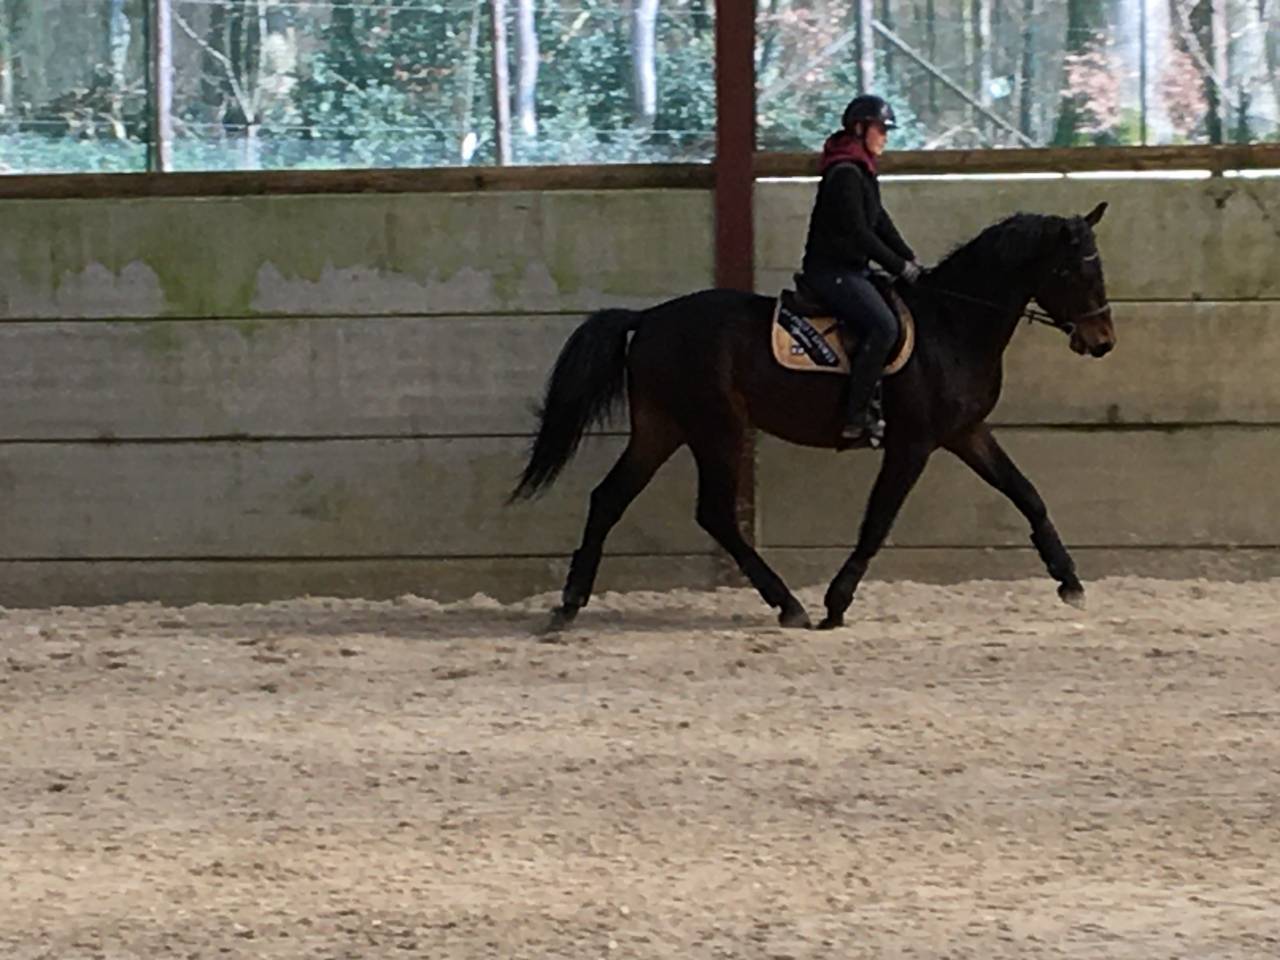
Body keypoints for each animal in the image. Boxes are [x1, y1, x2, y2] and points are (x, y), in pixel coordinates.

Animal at [509, 203, 1116, 631]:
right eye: (1073, 271)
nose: (1103, 341)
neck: (952, 324)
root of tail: (650, 317)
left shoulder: (966, 432)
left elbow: (1026, 493)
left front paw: (1069, 580)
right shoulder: (913, 443)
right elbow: (877, 522)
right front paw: (836, 603)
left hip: (663, 428)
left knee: (609, 499)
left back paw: (568, 606)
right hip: (716, 427)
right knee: (714, 514)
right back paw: (789, 605)